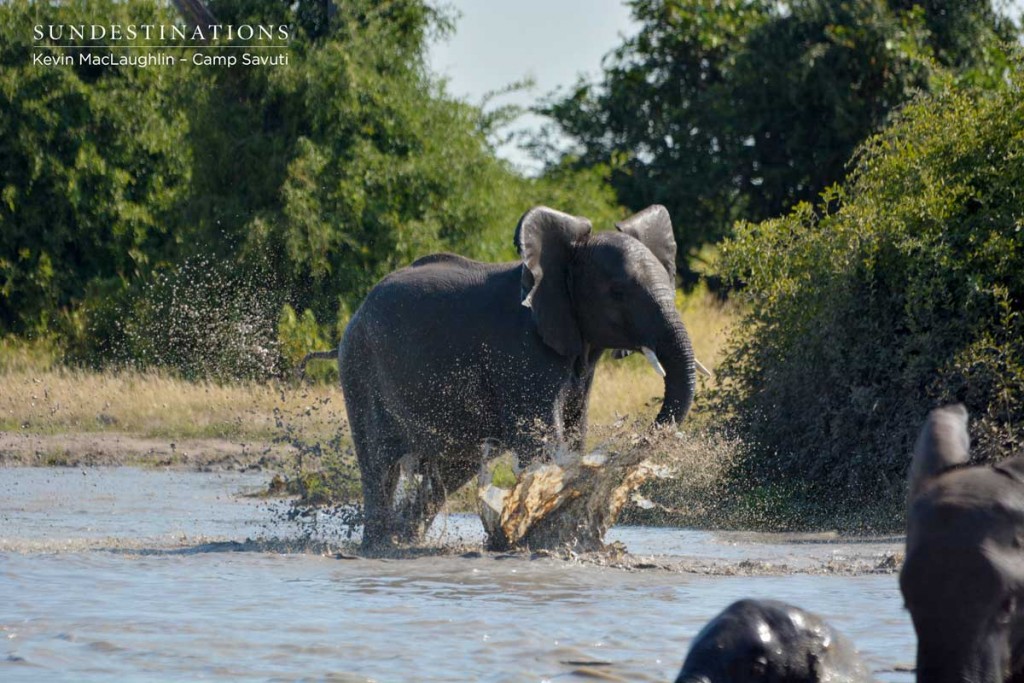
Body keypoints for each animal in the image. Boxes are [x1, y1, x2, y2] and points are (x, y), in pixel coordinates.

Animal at [339, 204, 700, 548]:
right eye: (617, 292)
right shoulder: (522, 349)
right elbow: (544, 441)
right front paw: (543, 537)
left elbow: (574, 434)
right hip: (360, 366)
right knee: (379, 462)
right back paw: (381, 545)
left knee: (452, 468)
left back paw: (404, 538)